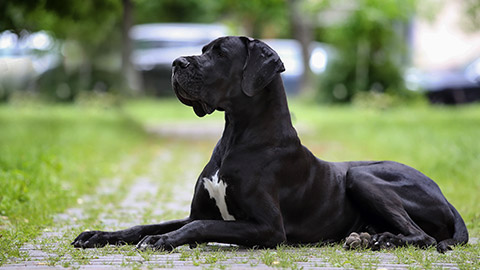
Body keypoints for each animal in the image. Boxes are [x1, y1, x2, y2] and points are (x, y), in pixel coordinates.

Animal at [72, 36, 468, 253]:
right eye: (202, 49)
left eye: (220, 54)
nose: (176, 62)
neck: (235, 135)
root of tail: (445, 197)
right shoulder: (198, 212)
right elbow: (146, 225)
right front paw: (97, 234)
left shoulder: (268, 228)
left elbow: (192, 229)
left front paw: (163, 241)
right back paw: (366, 237)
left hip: (362, 176)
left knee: (422, 236)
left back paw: (382, 241)